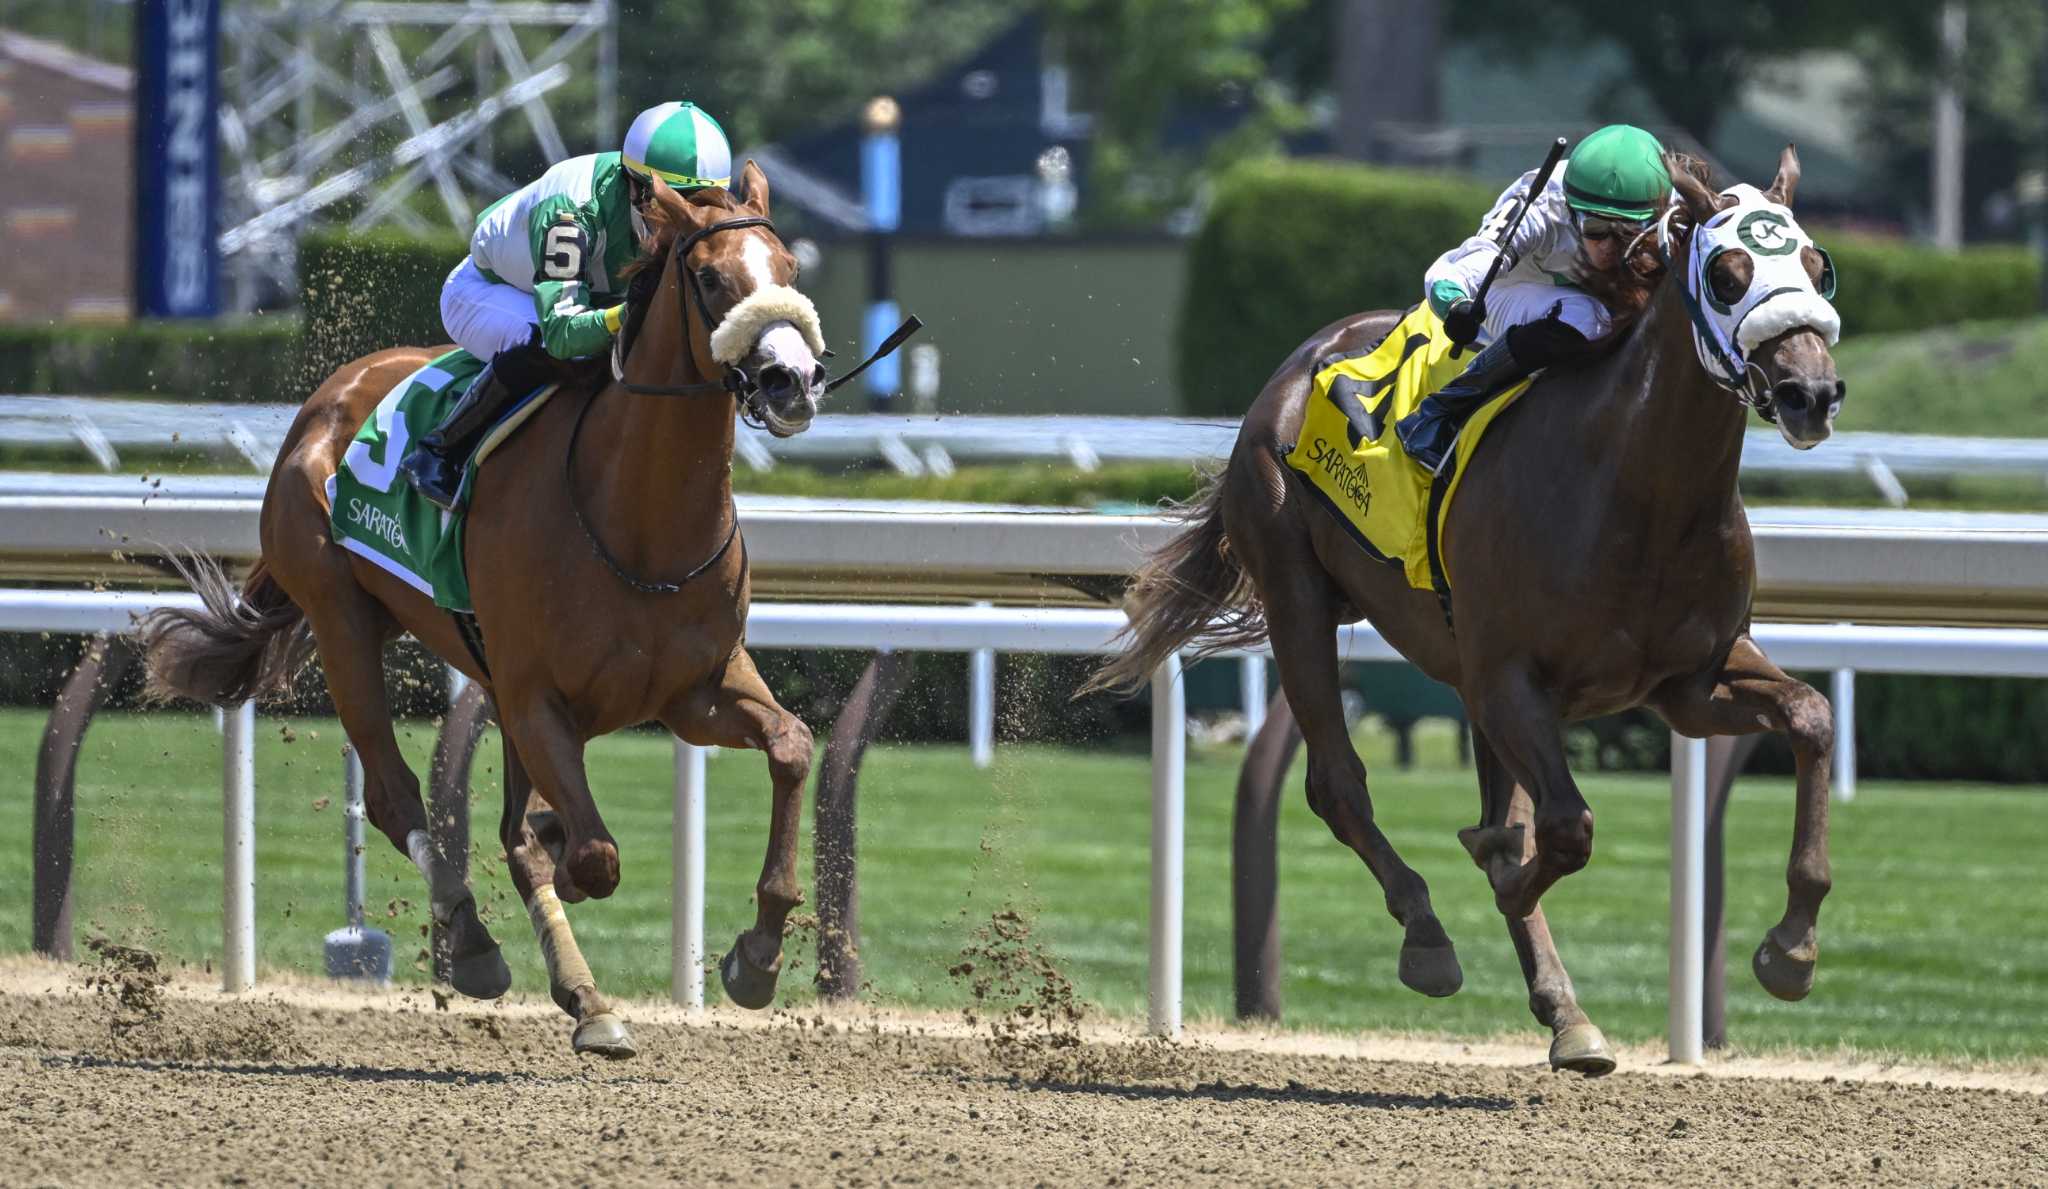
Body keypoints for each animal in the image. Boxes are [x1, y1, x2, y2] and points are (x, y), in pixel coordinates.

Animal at [138, 159, 823, 1055]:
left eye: (792, 268)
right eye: (710, 278)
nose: (793, 380)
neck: (639, 520)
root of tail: (327, 399)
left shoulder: (694, 687)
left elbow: (791, 746)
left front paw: (758, 955)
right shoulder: (536, 697)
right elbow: (588, 854)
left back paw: (583, 991)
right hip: (341, 617)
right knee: (397, 797)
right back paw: (475, 944)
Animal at [1097, 143, 1851, 1072]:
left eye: (1817, 264)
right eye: (1727, 272)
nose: (1811, 392)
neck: (1636, 487)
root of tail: (1305, 355)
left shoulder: (1688, 681)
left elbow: (1810, 716)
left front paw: (1792, 948)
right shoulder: (1510, 679)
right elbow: (1563, 829)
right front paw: (1494, 878)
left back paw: (1568, 1012)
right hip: (1298, 591)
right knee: (1338, 784)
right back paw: (1428, 935)